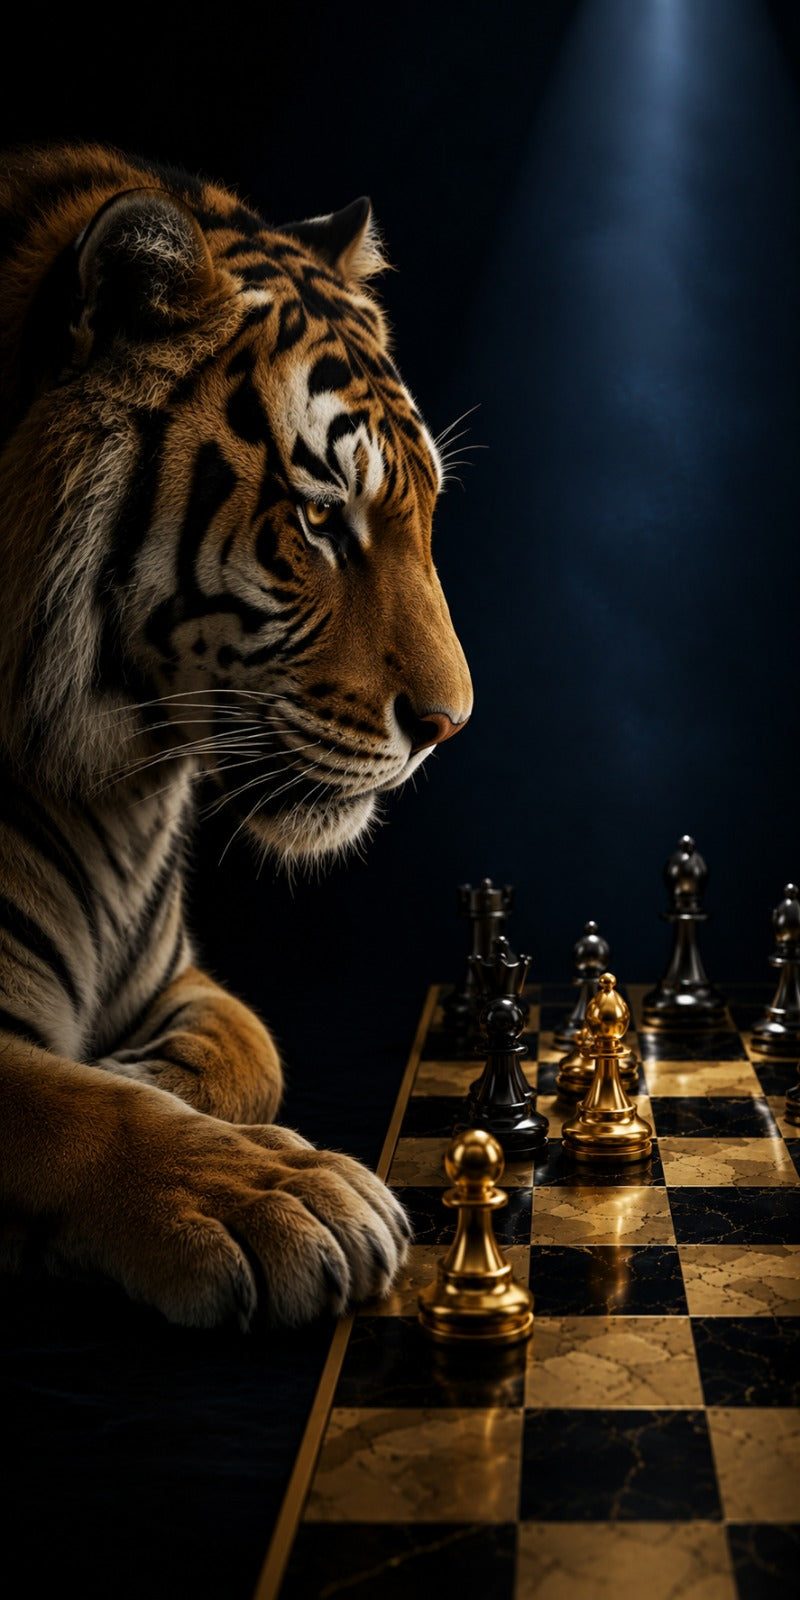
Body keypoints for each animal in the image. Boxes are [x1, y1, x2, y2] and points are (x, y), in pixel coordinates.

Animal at [0, 142, 472, 1330]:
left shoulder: (184, 973)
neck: (112, 789)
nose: (450, 725)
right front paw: (282, 1196)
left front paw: (154, 1076)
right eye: (319, 519)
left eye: (425, 512)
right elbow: (66, 1106)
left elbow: (251, 1049)